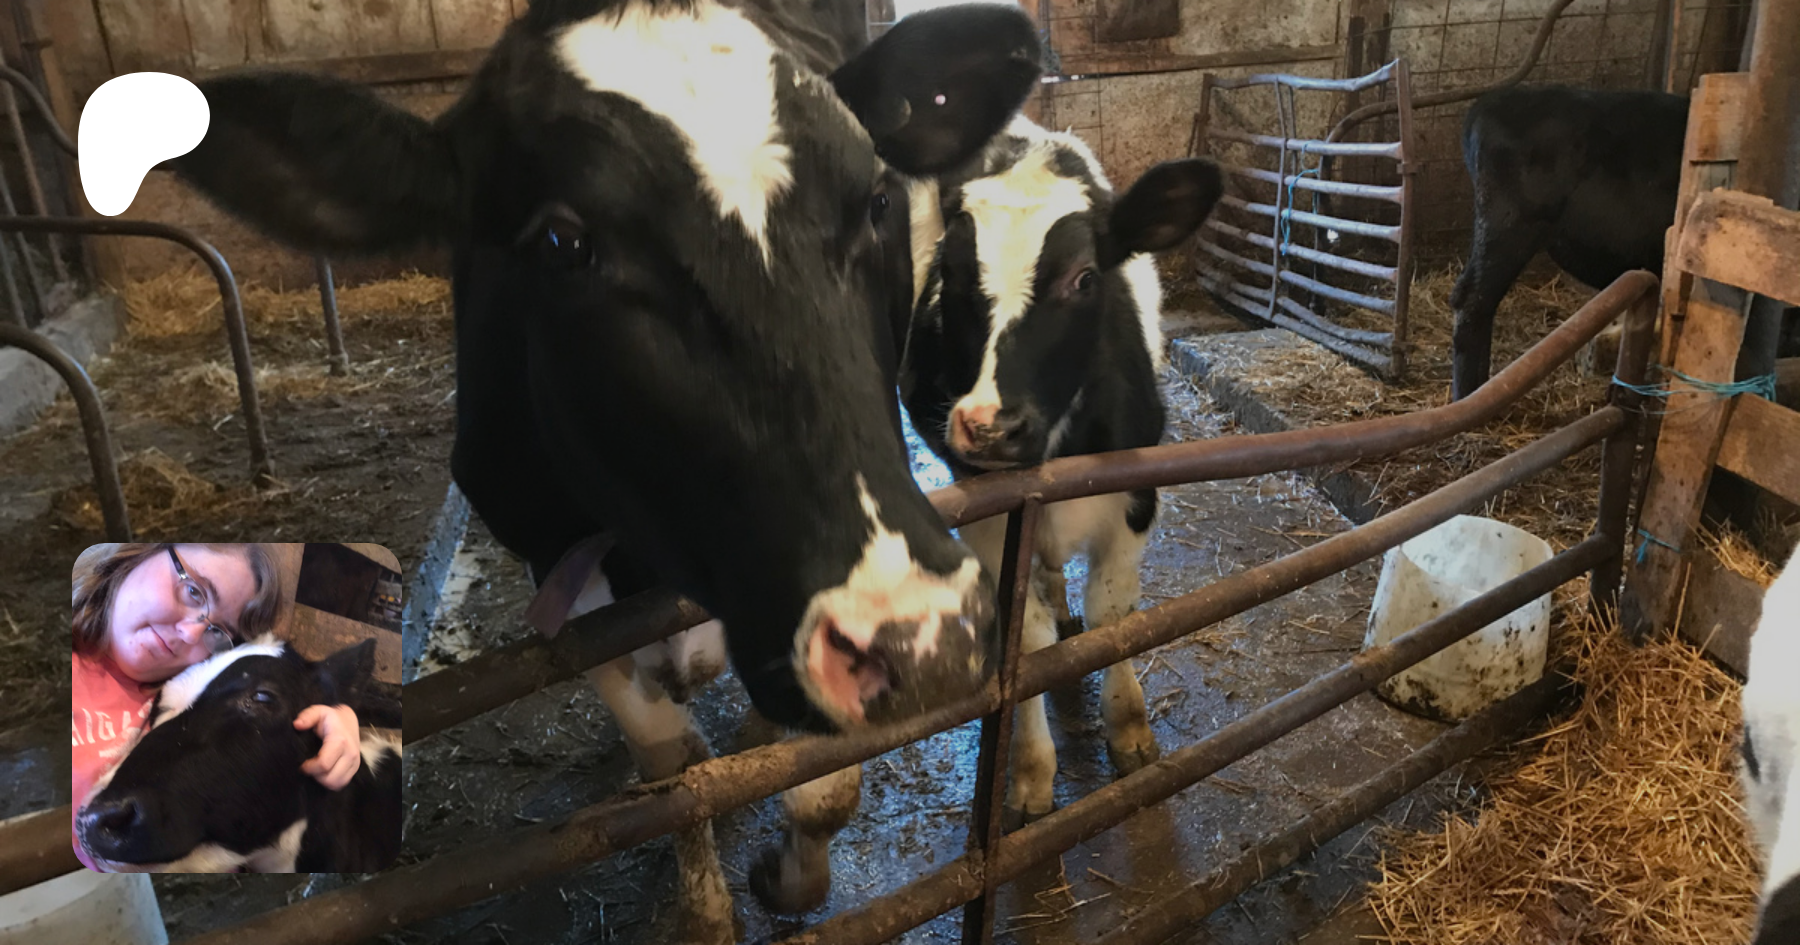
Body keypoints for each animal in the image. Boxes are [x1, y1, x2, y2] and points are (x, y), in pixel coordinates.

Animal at [159, 0, 1045, 933]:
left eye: (876, 198)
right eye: (561, 240)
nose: (925, 637)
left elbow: (824, 788)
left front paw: (791, 870)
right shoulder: (556, 555)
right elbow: (670, 762)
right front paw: (707, 906)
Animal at [900, 116, 1223, 822]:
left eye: (1084, 278)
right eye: (949, 272)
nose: (990, 426)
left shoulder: (1136, 493)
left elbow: (1113, 617)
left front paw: (1129, 731)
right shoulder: (984, 511)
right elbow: (1027, 646)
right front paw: (1029, 772)